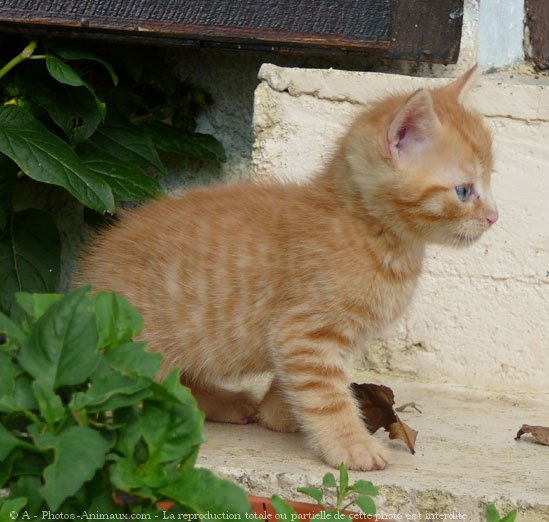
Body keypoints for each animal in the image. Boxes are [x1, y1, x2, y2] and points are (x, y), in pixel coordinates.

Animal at [76, 64, 496, 468]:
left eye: (490, 184)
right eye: (464, 191)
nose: (494, 217)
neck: (372, 231)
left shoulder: (308, 339)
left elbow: (295, 383)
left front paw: (279, 415)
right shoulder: (304, 333)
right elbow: (326, 395)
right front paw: (350, 444)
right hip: (139, 350)